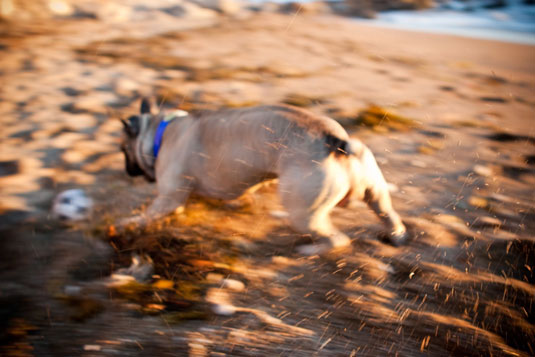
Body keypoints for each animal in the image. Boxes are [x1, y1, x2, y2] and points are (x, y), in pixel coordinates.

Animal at [120, 98, 406, 253]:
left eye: (123, 150)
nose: (127, 170)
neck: (160, 131)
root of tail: (337, 142)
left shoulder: (168, 196)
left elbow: (148, 214)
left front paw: (129, 224)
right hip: (375, 192)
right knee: (388, 213)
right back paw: (396, 235)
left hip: (304, 214)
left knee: (338, 239)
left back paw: (310, 249)